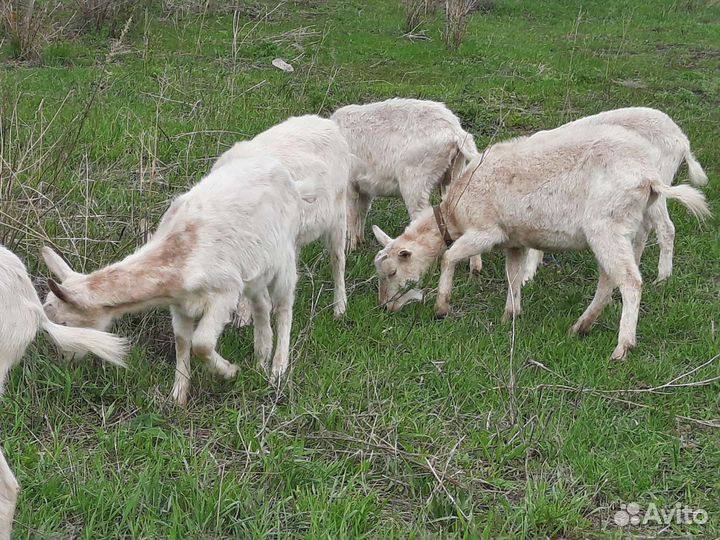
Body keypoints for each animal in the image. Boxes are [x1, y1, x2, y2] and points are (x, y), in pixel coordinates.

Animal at [42, 157, 310, 406]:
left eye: (66, 322)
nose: (66, 360)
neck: (179, 261)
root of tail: (286, 175)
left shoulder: (225, 292)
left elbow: (201, 343)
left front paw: (229, 372)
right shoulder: (179, 304)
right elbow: (182, 341)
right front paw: (178, 396)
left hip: (285, 257)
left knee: (284, 306)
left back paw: (277, 369)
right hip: (255, 272)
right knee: (262, 303)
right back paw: (261, 356)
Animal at [372, 124, 710, 360]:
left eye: (392, 272)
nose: (385, 307)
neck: (453, 212)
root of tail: (649, 178)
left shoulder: (486, 230)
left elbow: (449, 256)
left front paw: (442, 307)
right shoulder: (514, 240)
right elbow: (512, 275)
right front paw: (511, 314)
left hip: (607, 226)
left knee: (629, 281)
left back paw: (622, 347)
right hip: (630, 231)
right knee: (610, 279)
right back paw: (581, 326)